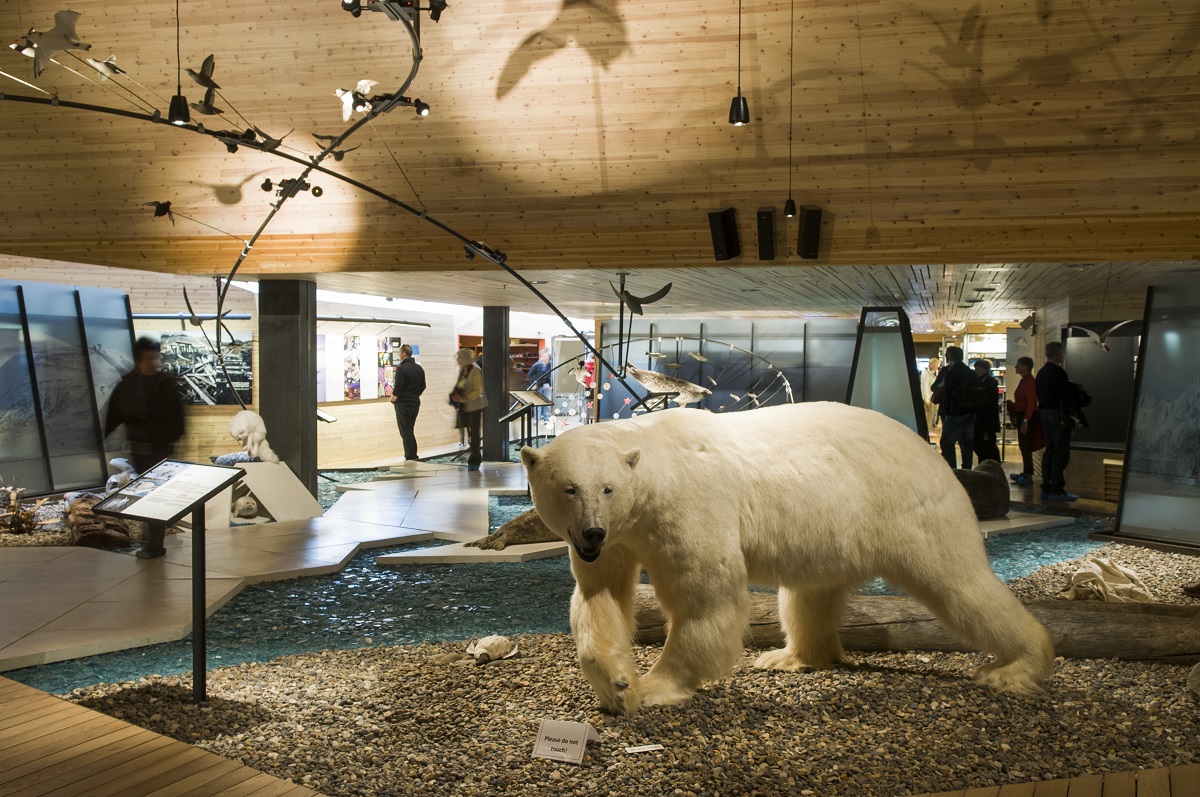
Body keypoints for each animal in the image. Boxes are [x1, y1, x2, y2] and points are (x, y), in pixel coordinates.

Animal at [520, 400, 1056, 710]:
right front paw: (616, 684)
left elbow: (706, 599)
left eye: (606, 488)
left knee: (961, 586)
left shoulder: (688, 507)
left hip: (911, 510)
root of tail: (933, 453)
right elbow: (600, 596)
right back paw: (789, 657)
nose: (591, 532)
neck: (654, 466)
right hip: (833, 531)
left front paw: (655, 686)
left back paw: (1015, 667)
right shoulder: (620, 538)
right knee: (807, 595)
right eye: (569, 488)